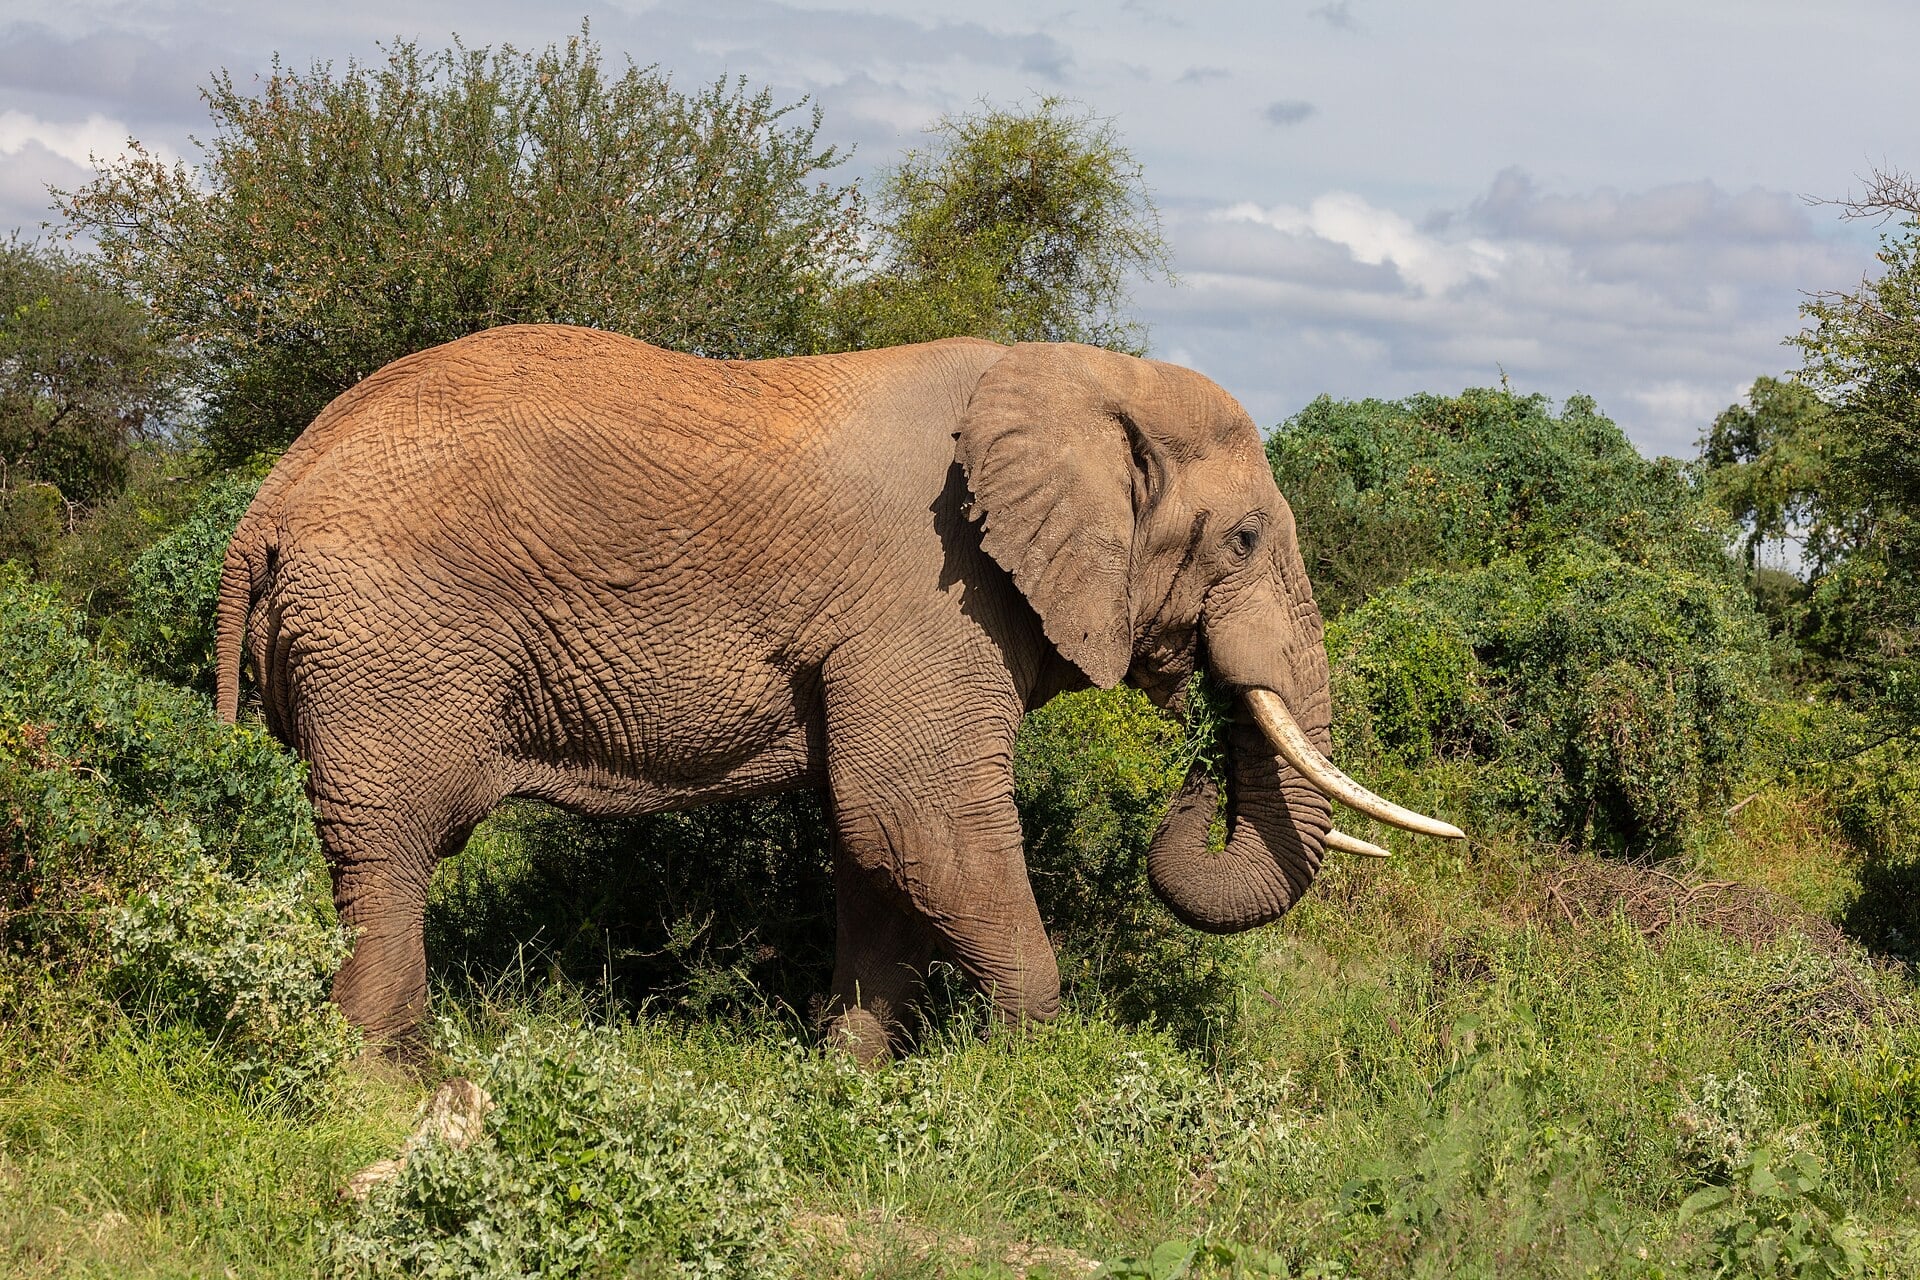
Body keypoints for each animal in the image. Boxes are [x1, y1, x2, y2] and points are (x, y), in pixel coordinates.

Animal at [214, 324, 1461, 1059]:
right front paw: (1032, 1077)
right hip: (387, 642)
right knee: (389, 849)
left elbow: (876, 845)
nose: (1201, 745)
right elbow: (917, 817)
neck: (1081, 372)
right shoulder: (932, 591)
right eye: (1244, 538)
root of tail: (266, 502)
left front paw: (855, 1075)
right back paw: (386, 1082)